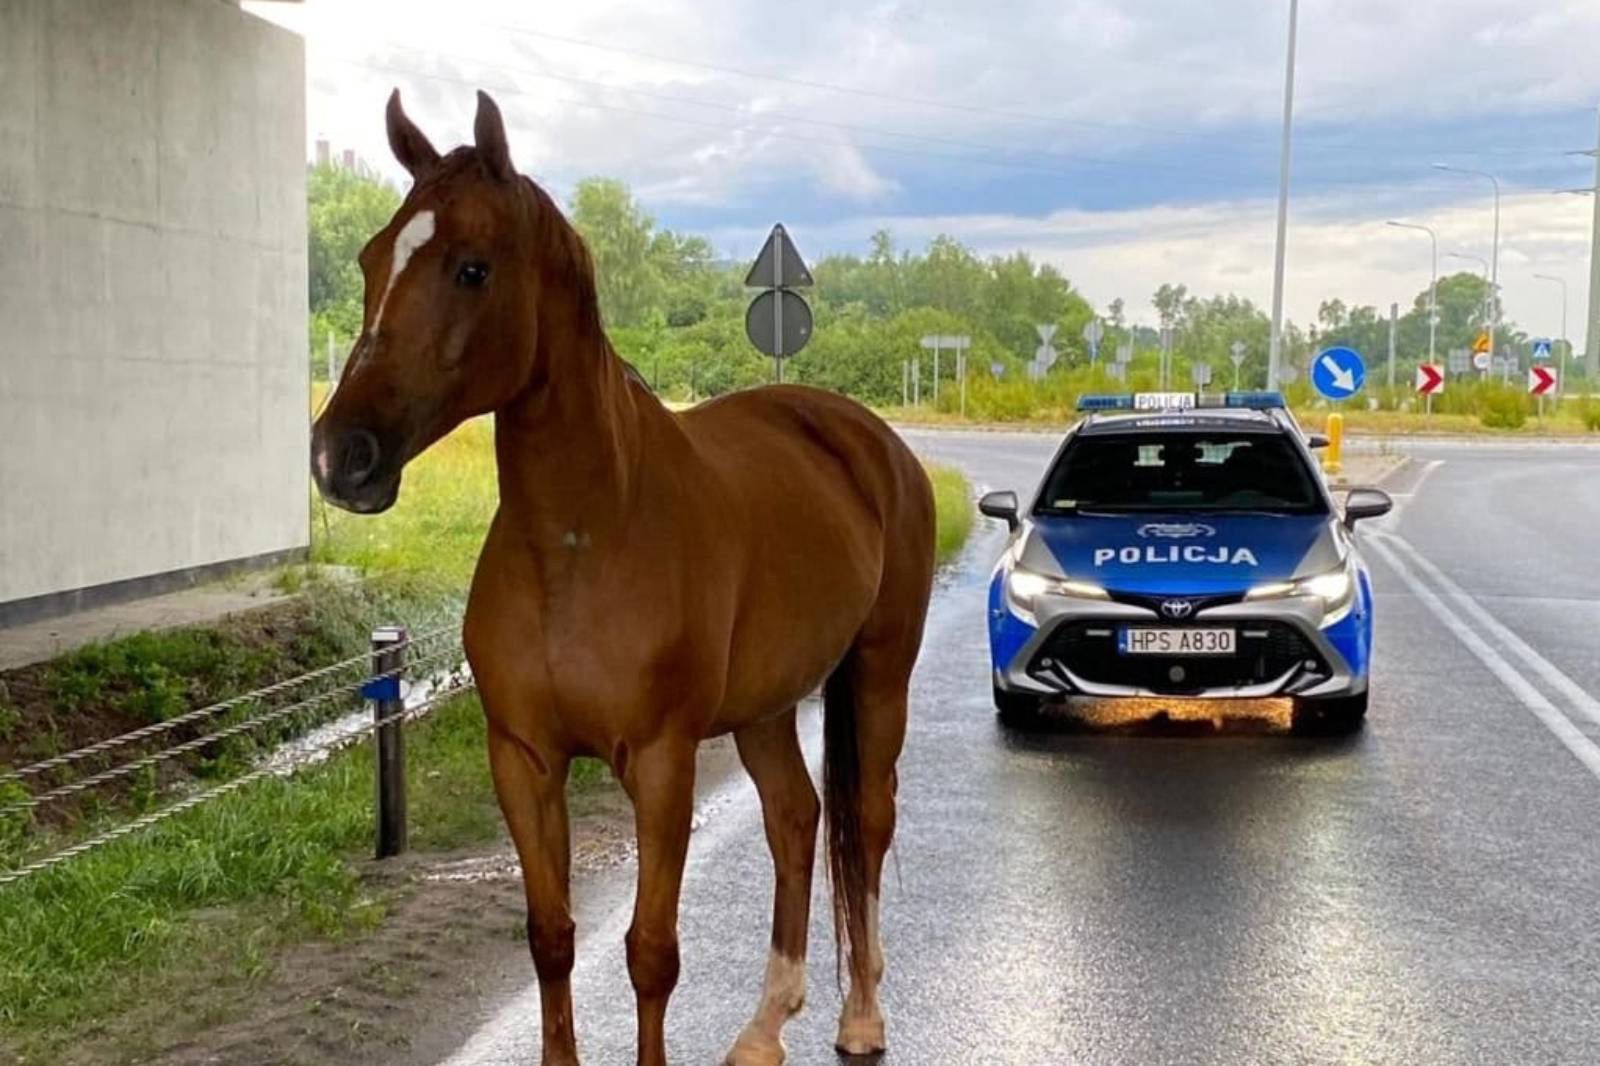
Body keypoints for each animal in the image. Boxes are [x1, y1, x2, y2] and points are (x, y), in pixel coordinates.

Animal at [308, 93, 934, 1062]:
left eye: (472, 268)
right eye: (373, 258)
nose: (342, 456)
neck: (580, 542)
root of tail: (867, 438)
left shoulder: (662, 764)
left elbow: (650, 952)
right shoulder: (523, 759)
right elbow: (551, 937)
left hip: (878, 676)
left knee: (864, 821)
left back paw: (860, 1016)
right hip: (764, 708)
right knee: (795, 822)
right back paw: (764, 1025)